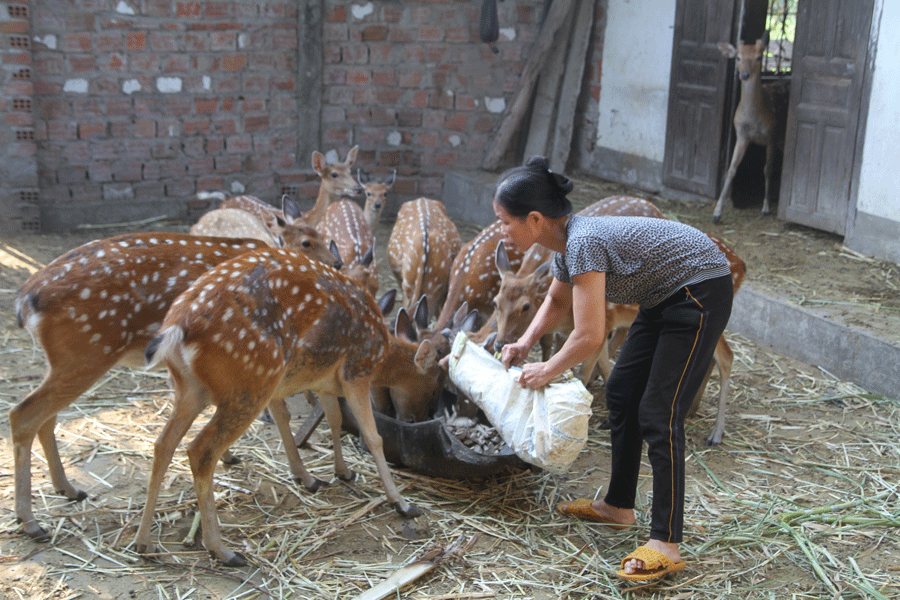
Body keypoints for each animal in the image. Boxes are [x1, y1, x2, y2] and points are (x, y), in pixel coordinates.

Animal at [133, 246, 442, 564]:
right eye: (436, 382)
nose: (422, 416)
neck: (382, 354)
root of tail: (177, 328)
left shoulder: (323, 379)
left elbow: (331, 419)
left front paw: (339, 472)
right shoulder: (356, 370)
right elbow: (372, 436)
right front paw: (402, 503)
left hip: (193, 388)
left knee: (164, 443)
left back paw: (144, 543)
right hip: (251, 382)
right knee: (200, 450)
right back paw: (222, 550)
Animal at [712, 31, 776, 223]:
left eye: (759, 57)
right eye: (738, 57)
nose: (745, 75)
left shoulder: (771, 135)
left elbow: (768, 169)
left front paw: (766, 208)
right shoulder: (741, 135)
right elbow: (731, 169)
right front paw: (717, 213)